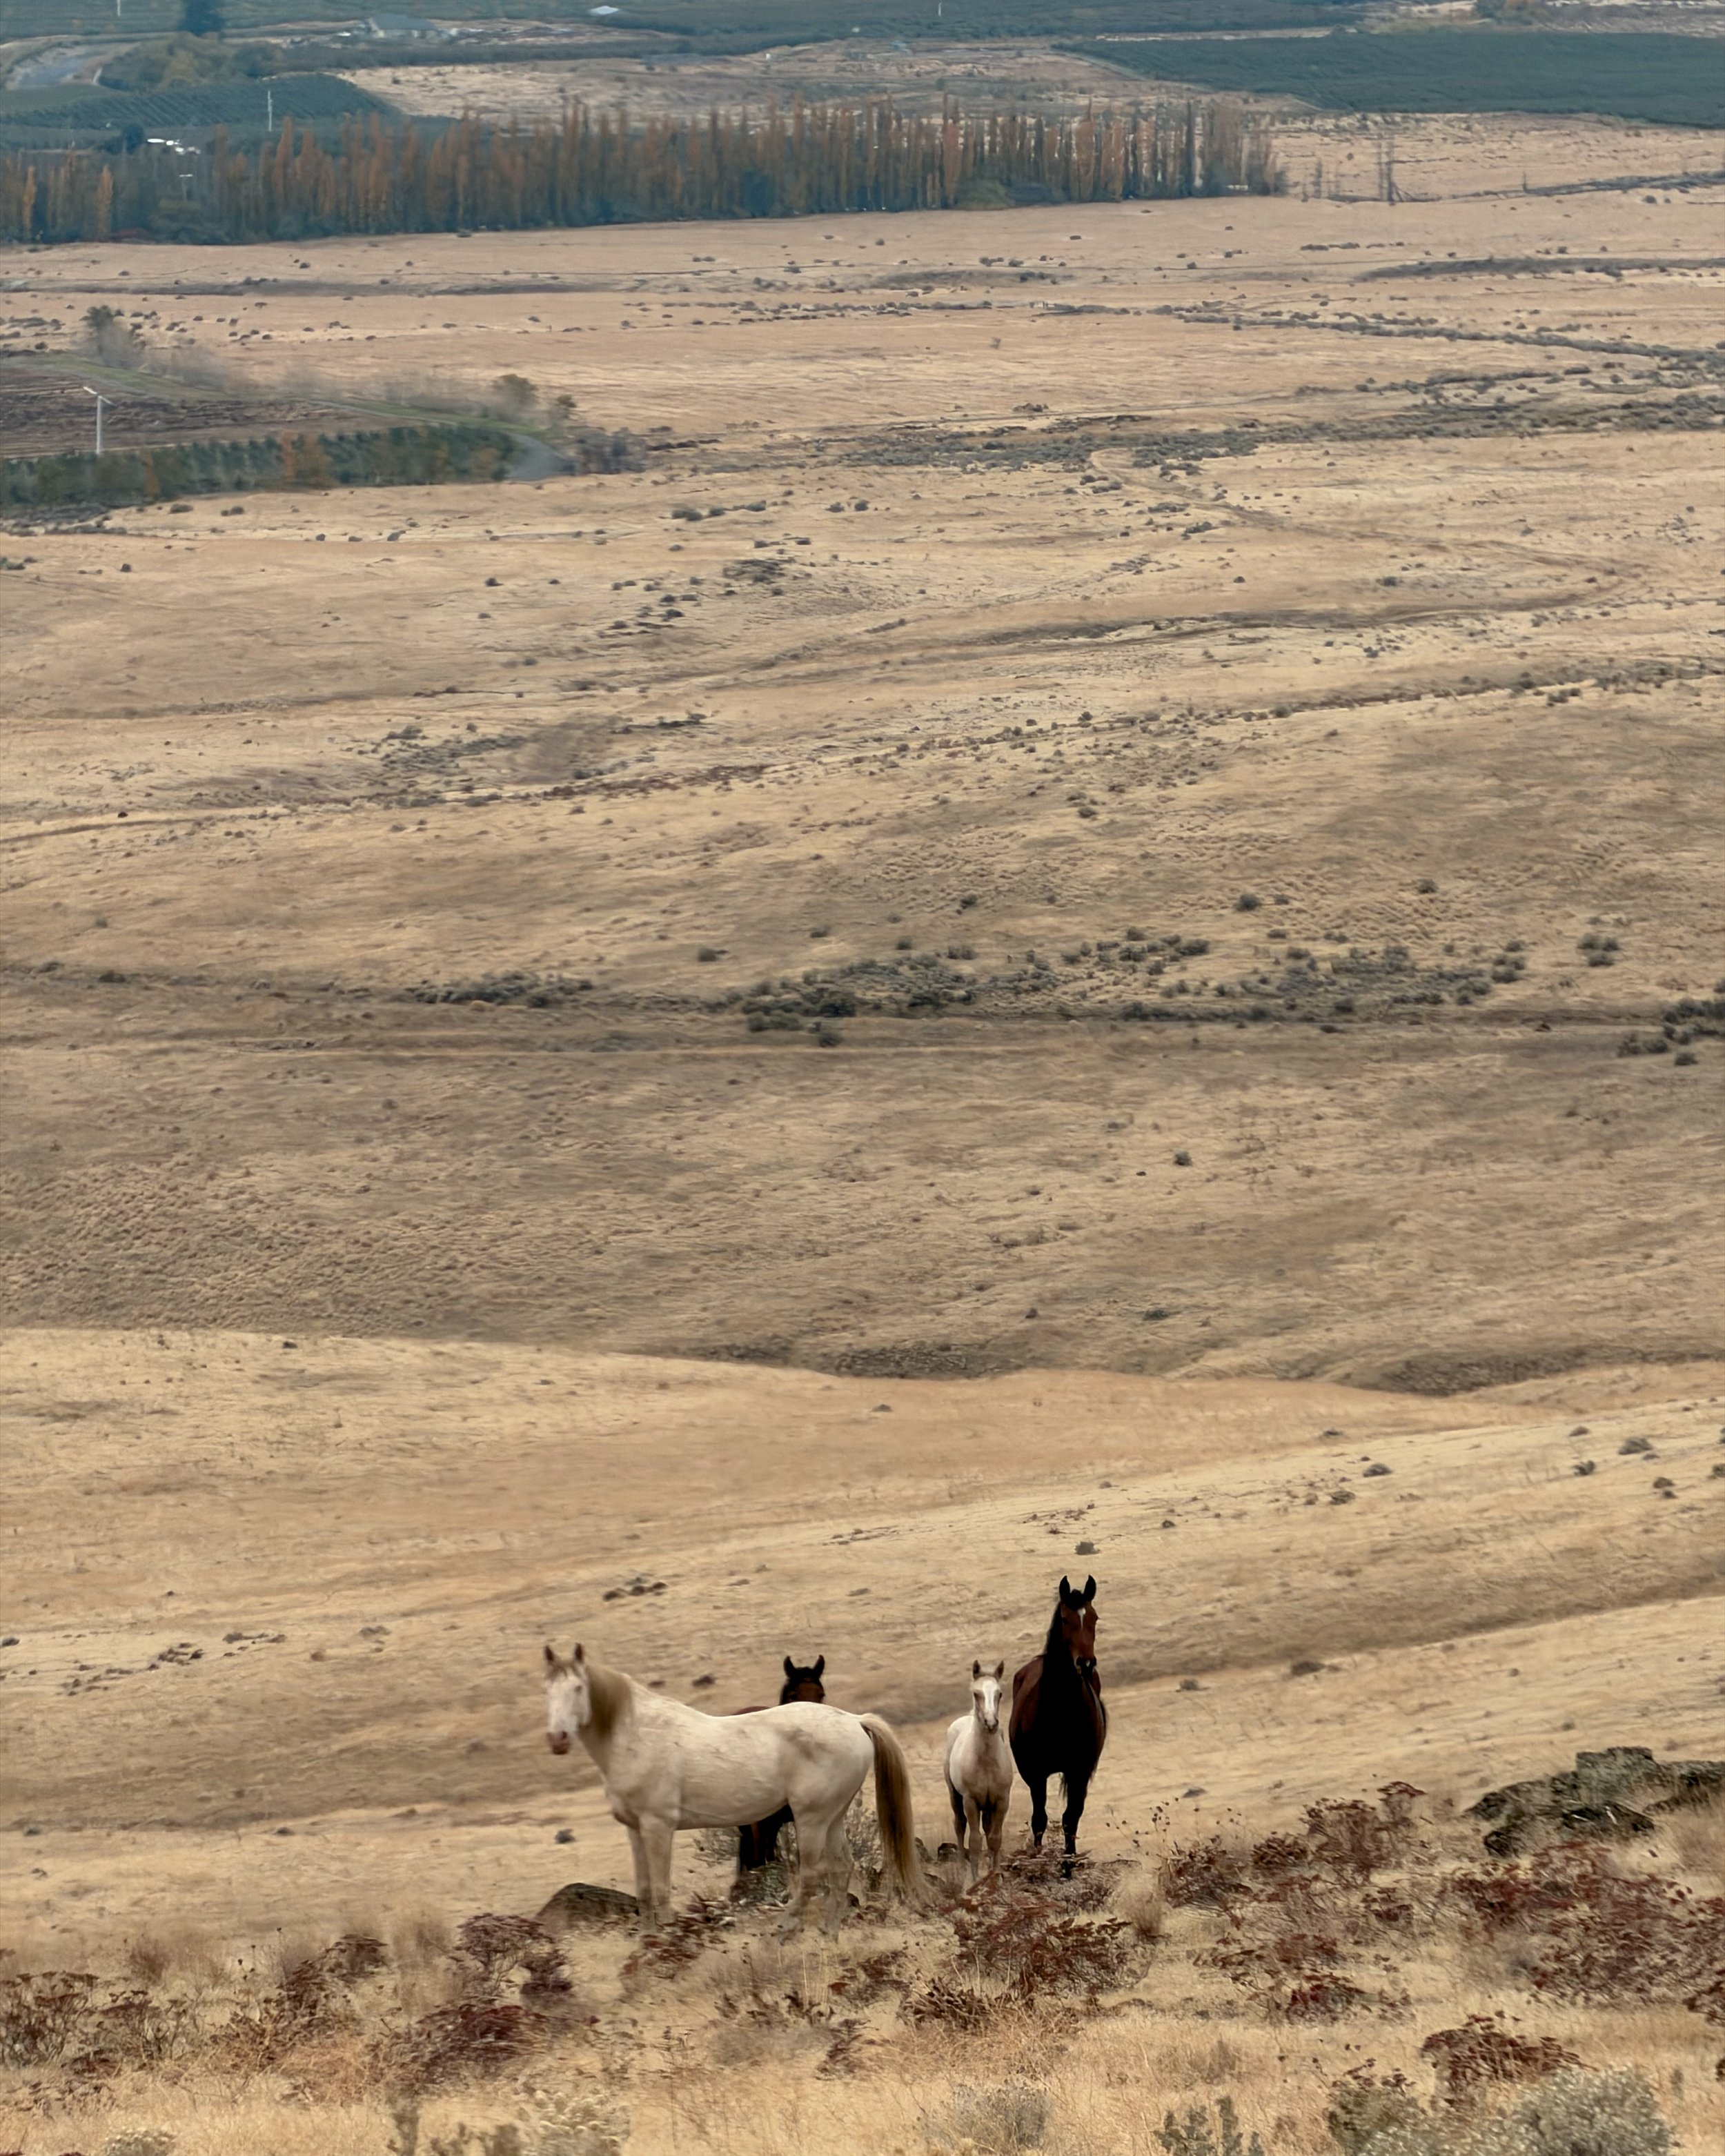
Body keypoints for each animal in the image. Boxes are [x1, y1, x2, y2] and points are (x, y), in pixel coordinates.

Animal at [944, 1659, 1013, 1880]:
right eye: (976, 1693)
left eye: (999, 1693)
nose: (991, 1723)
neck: (986, 1763)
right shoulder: (971, 1801)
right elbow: (975, 1840)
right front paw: (975, 1879)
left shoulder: (1001, 1800)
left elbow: (995, 1838)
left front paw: (995, 1874)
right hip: (955, 1796)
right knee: (959, 1825)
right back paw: (961, 1867)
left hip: (988, 1806)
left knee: (988, 1830)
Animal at [1008, 1574, 1106, 1858]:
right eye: (1065, 1619)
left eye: (1095, 1618)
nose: (1086, 1663)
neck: (1062, 1709)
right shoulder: (1036, 1773)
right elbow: (1039, 1820)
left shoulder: (1080, 1771)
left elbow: (1071, 1819)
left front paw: (1069, 1860)